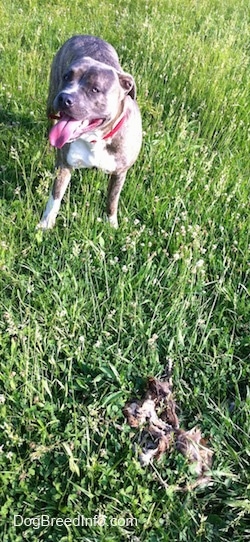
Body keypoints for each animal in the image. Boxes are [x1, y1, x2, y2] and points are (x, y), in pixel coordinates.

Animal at [37, 34, 143, 230]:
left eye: (95, 89)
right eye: (67, 77)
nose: (64, 97)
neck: (95, 139)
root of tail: (85, 35)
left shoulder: (120, 173)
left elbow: (112, 201)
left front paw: (112, 225)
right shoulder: (64, 165)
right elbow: (55, 197)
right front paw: (46, 223)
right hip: (51, 99)